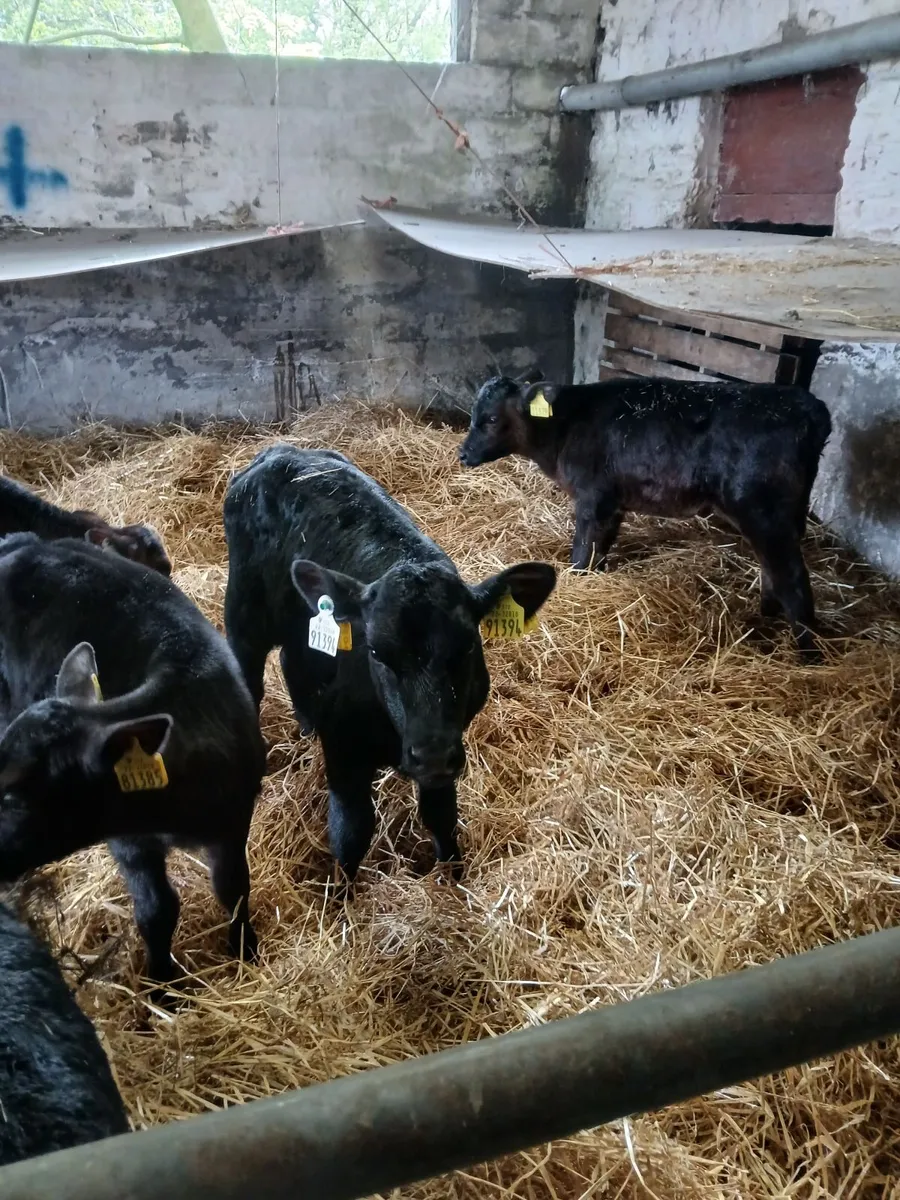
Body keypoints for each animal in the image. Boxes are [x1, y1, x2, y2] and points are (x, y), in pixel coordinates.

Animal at [0, 533, 266, 993]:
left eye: (15, 797)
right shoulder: (129, 841)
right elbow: (156, 910)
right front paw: (163, 988)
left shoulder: (233, 821)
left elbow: (233, 888)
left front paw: (244, 952)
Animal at [223, 445, 556, 882]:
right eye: (377, 653)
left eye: (468, 646)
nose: (431, 754)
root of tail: (279, 451)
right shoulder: (343, 748)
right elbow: (352, 828)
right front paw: (344, 890)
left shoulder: (447, 746)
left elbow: (441, 815)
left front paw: (453, 877)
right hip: (243, 617)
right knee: (251, 677)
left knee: (294, 660)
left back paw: (306, 725)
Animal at [458, 374, 832, 656]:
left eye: (491, 419)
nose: (463, 454)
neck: (564, 427)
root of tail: (808, 406)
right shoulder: (613, 503)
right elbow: (600, 549)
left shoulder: (592, 497)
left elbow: (582, 551)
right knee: (773, 570)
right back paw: (766, 617)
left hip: (764, 512)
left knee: (792, 577)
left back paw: (808, 654)